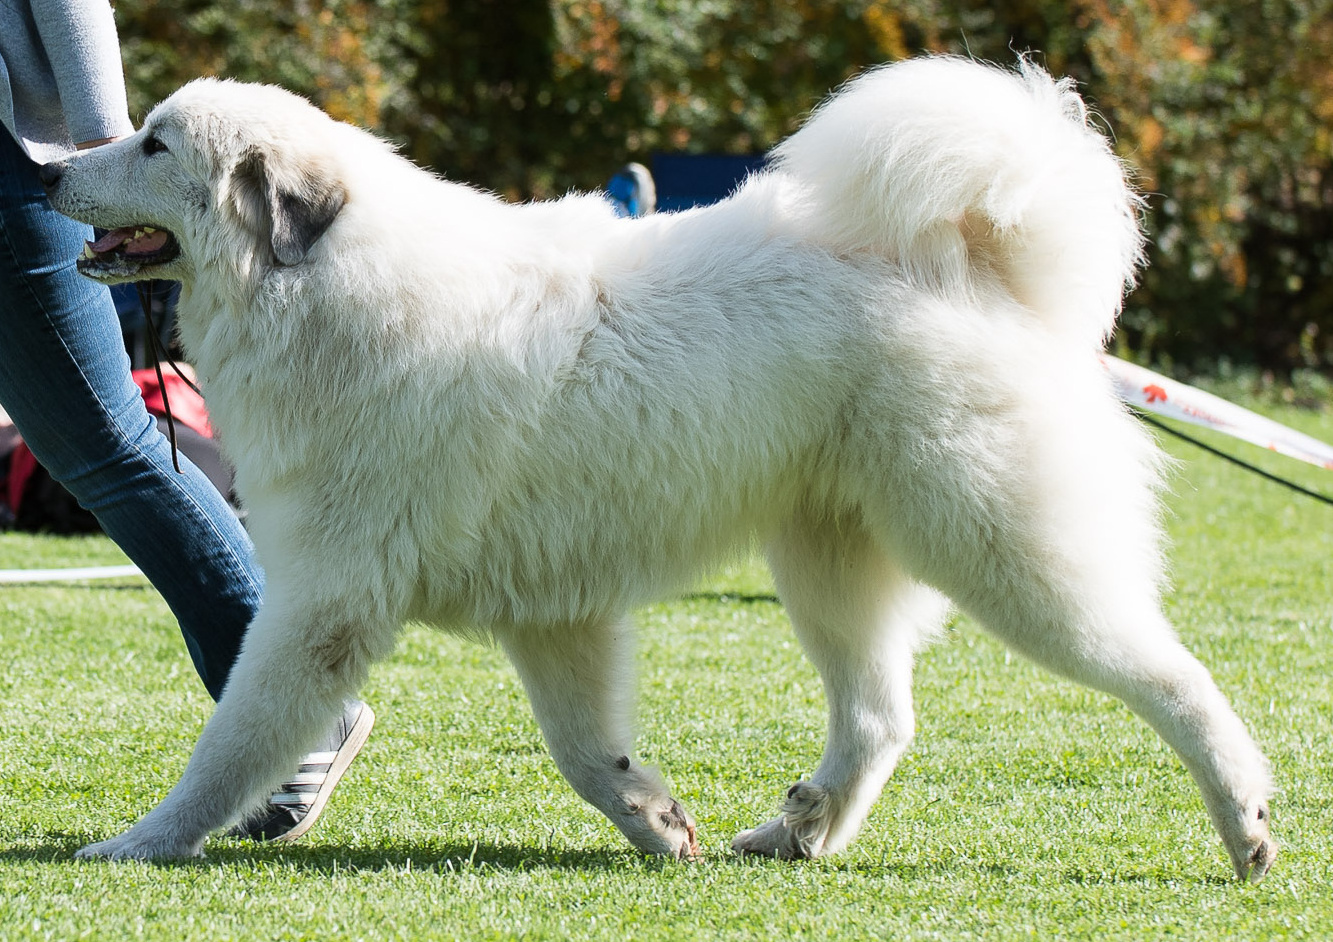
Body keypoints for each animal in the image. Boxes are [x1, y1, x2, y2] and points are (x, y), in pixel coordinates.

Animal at [41, 55, 1274, 879]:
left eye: (154, 145)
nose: (47, 173)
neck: (322, 283)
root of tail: (970, 258)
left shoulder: (320, 609)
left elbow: (229, 748)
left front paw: (137, 844)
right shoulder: (552, 615)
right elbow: (586, 751)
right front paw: (656, 820)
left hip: (1002, 559)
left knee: (1175, 678)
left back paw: (1247, 825)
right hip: (829, 564)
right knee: (881, 720)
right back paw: (797, 831)